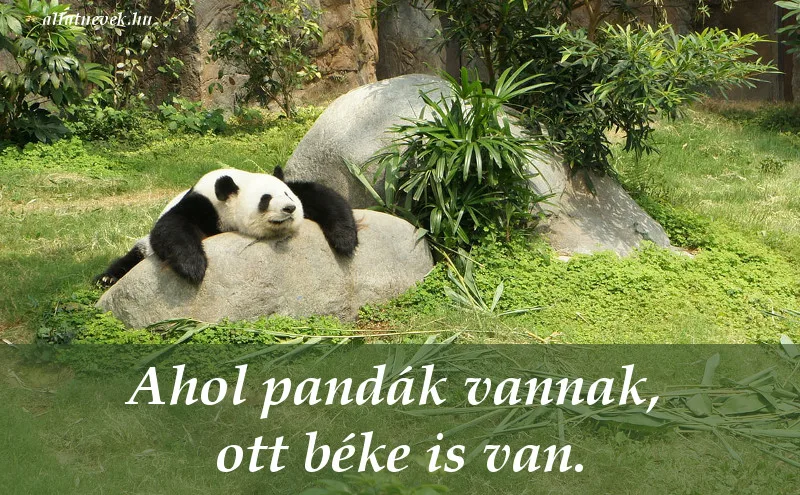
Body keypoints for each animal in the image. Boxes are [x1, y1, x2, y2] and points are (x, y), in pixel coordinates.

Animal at [96, 166, 358, 287]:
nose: (289, 208)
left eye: (287, 195)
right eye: (265, 199)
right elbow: (171, 227)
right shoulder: (202, 204)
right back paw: (107, 278)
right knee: (136, 254)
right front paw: (193, 267)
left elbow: (323, 196)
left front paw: (345, 241)